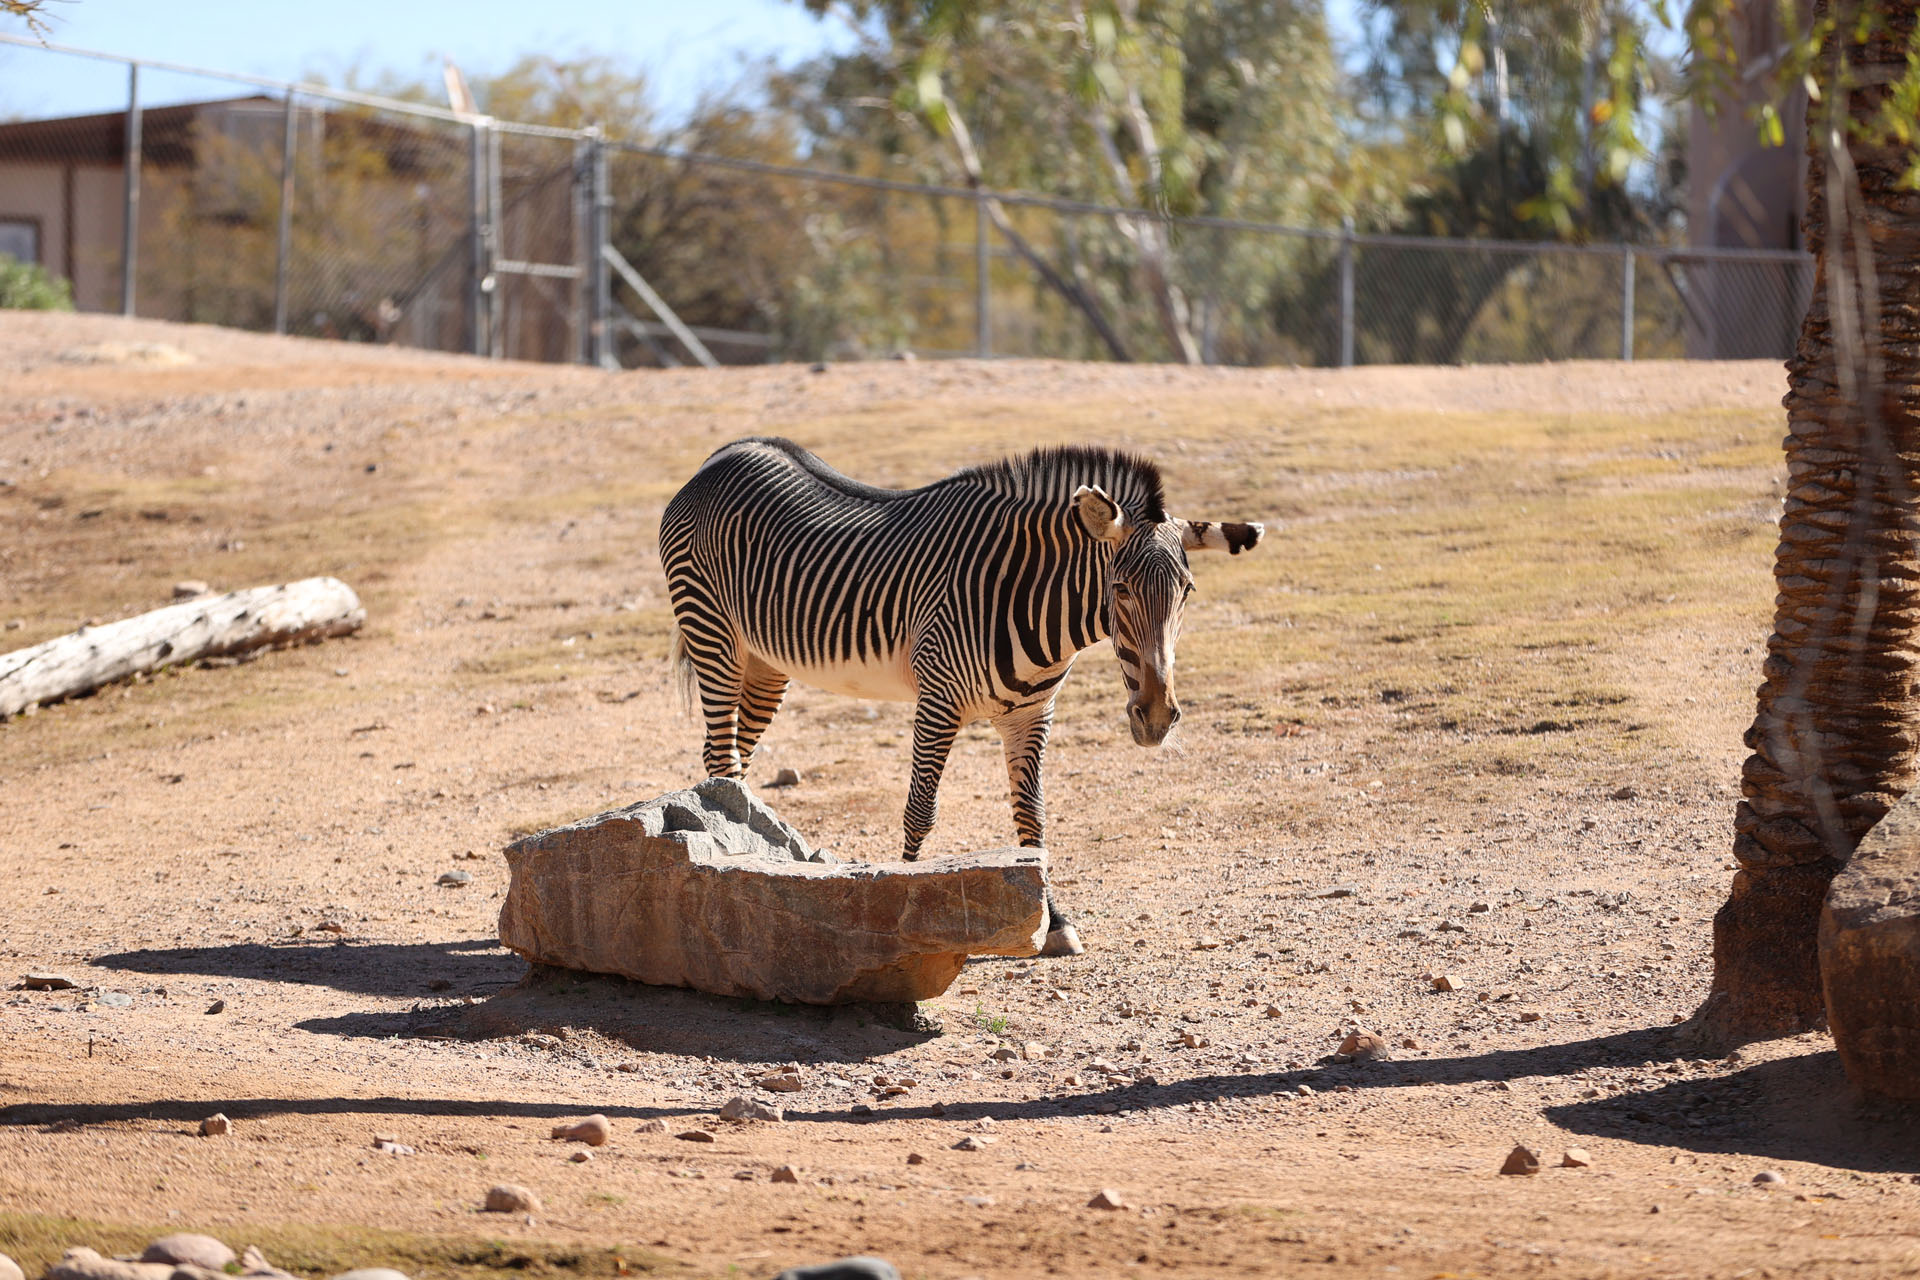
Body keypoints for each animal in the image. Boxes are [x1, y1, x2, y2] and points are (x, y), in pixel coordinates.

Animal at [660, 435, 1259, 955]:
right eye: (1121, 589)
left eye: (1187, 592)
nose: (1156, 718)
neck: (1028, 595)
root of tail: (727, 452)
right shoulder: (938, 702)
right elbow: (919, 812)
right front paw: (896, 910)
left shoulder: (1031, 713)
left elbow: (1033, 818)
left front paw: (1054, 921)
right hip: (712, 632)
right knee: (721, 755)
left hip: (764, 663)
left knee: (734, 760)